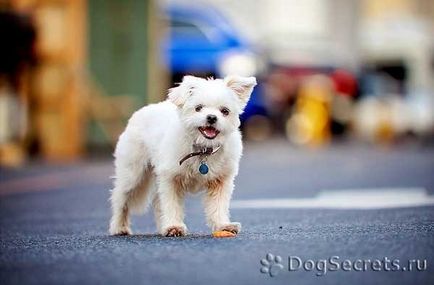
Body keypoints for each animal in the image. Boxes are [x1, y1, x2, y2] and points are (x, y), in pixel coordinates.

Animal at [110, 74, 256, 236]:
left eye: (225, 111)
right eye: (198, 108)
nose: (212, 117)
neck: (203, 149)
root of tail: (143, 110)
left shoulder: (221, 181)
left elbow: (218, 206)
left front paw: (222, 225)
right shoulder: (170, 179)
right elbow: (171, 204)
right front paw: (174, 226)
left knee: (157, 202)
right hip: (133, 176)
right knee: (121, 201)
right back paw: (120, 227)